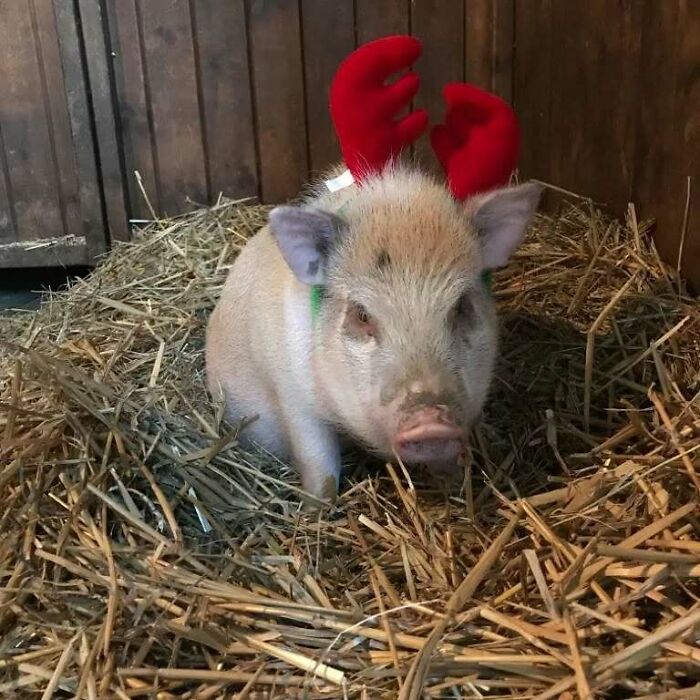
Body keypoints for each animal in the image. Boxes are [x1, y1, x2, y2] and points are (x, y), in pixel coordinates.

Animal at [205, 163, 544, 504]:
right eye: (362, 314)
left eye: (461, 306)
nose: (429, 422)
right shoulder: (293, 397)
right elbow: (318, 465)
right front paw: (316, 507)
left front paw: (453, 486)